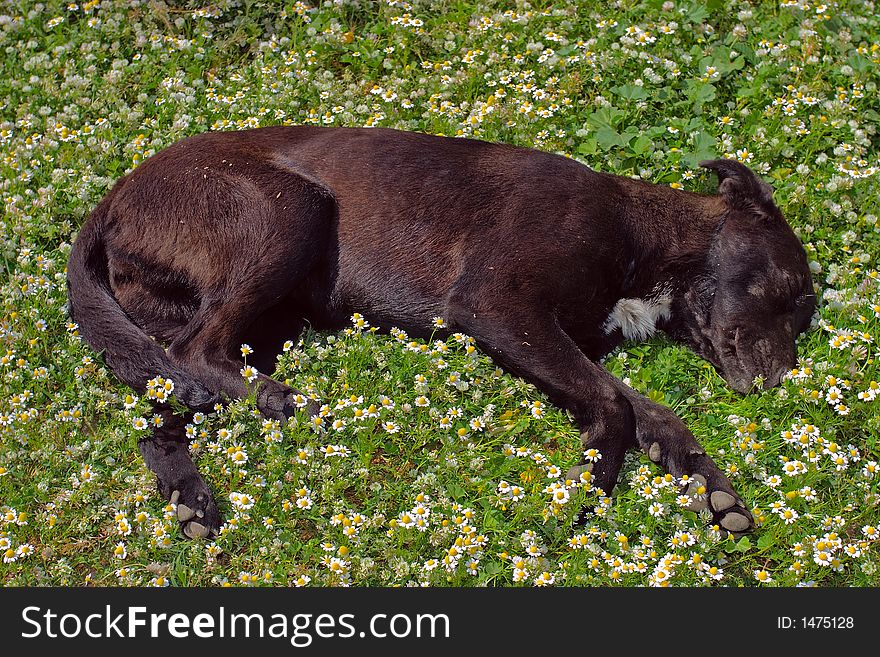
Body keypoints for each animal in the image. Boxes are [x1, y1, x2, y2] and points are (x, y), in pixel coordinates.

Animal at [65, 125, 816, 536]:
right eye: (789, 292)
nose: (781, 381)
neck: (642, 233)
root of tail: (113, 198)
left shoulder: (553, 336)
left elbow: (652, 410)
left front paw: (709, 485)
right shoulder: (498, 306)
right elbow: (614, 404)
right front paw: (589, 485)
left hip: (247, 321)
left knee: (164, 398)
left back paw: (190, 498)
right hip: (290, 212)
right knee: (196, 353)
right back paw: (288, 401)